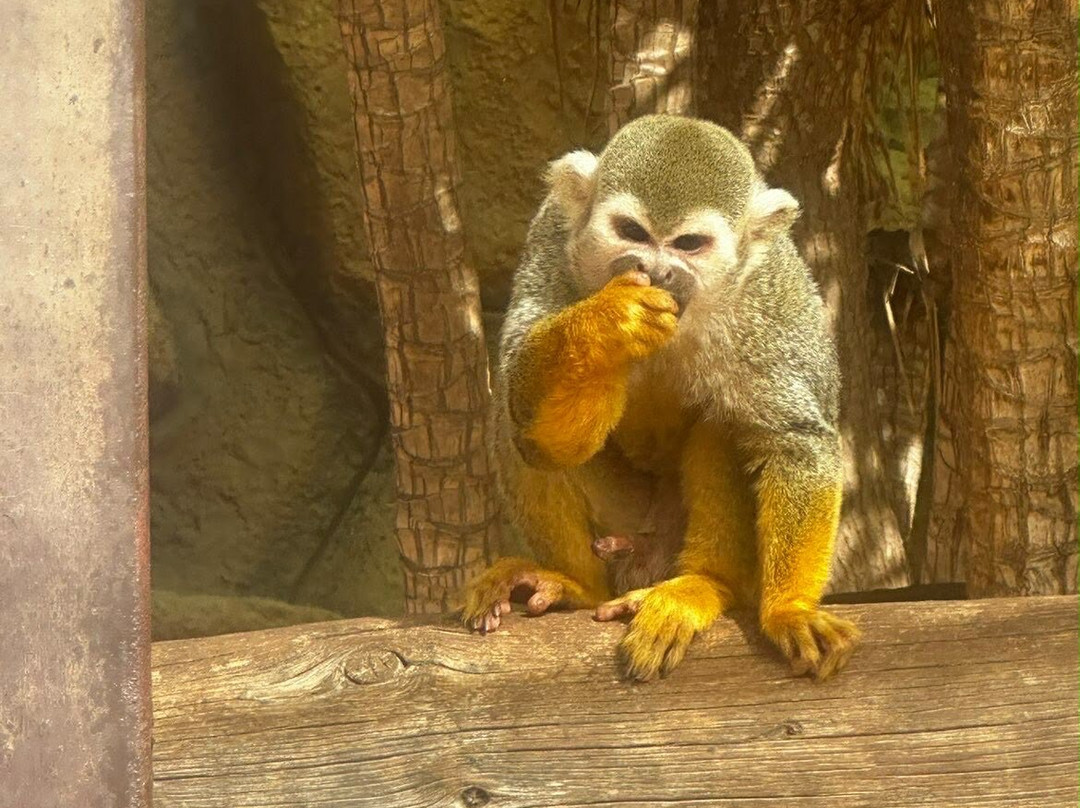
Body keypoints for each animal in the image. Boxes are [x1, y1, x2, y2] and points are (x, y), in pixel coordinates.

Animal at [462, 114, 860, 682]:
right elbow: (549, 438)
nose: (655, 270)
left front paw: (792, 609)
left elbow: (796, 442)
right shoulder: (553, 242)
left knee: (725, 423)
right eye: (632, 232)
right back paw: (576, 588)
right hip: (624, 519)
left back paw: (702, 585)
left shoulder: (767, 301)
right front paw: (611, 321)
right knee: (514, 427)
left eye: (688, 243)